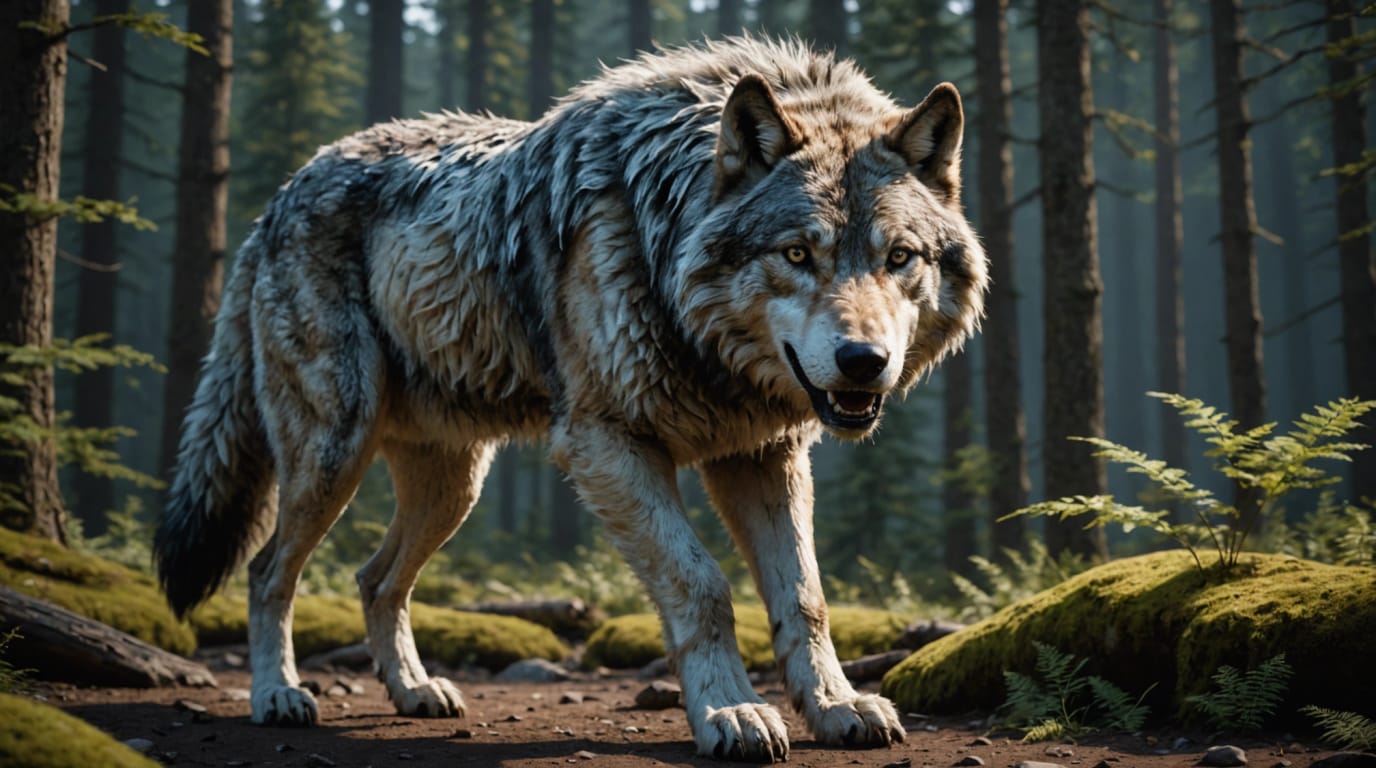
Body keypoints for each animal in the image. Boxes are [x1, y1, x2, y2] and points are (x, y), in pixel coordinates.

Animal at [155, 37, 986, 761]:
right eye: (797, 253)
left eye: (899, 258)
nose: (864, 362)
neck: (664, 241)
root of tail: (280, 196)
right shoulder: (605, 444)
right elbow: (703, 585)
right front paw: (730, 710)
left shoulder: (762, 455)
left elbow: (806, 597)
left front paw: (836, 705)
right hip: (333, 454)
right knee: (268, 570)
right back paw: (277, 695)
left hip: (454, 487)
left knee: (375, 578)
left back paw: (414, 690)